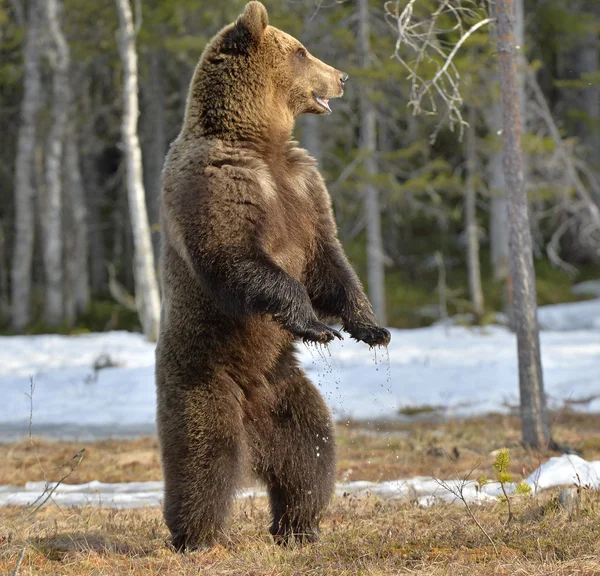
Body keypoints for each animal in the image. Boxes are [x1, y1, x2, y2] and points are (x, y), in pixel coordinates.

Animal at [155, 0, 390, 552]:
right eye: (302, 50)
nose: (342, 76)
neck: (260, 142)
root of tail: (251, 419)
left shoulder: (304, 188)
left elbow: (330, 262)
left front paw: (371, 328)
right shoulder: (219, 182)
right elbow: (236, 256)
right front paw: (316, 325)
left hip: (284, 389)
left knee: (310, 453)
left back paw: (299, 526)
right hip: (203, 374)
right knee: (204, 457)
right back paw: (194, 536)